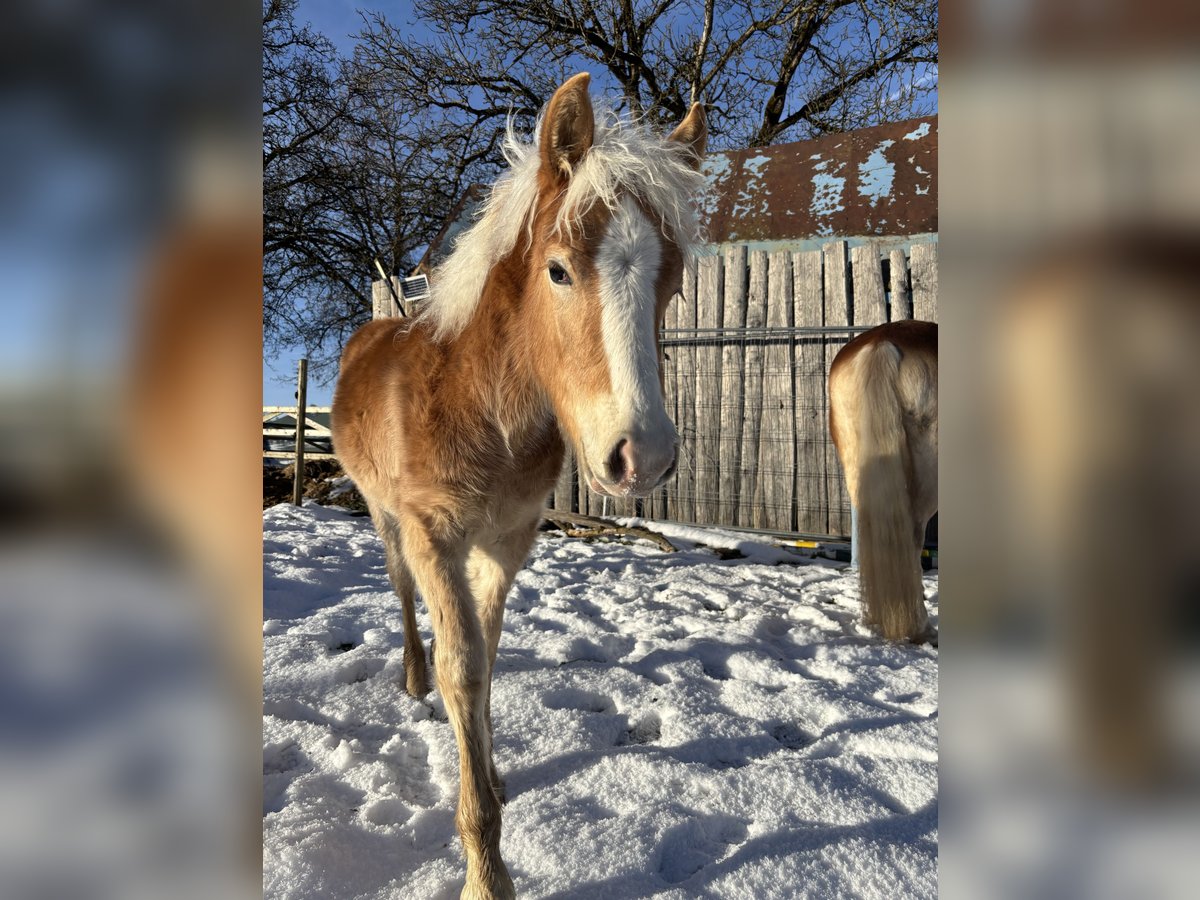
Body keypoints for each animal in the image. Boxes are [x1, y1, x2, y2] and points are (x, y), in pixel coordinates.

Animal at [328, 74, 700, 897]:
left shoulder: (507, 540)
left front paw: (493, 779)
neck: (482, 407)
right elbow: (462, 667)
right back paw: (411, 677)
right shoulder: (434, 533)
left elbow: (489, 654)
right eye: (558, 269)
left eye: (672, 280)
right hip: (384, 517)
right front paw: (484, 871)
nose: (644, 456)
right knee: (402, 591)